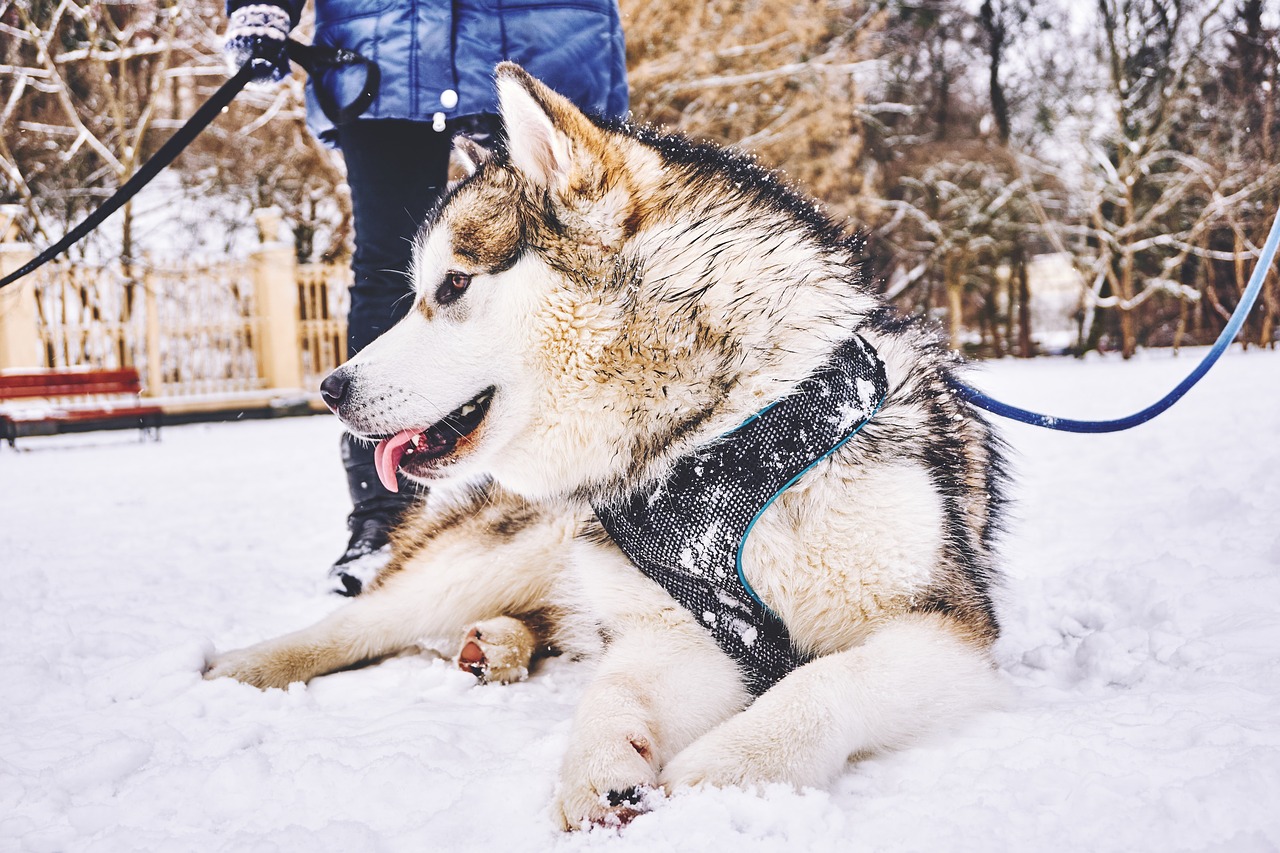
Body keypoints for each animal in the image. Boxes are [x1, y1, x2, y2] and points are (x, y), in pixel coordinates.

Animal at [209, 68, 1008, 829]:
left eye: (454, 284)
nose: (330, 388)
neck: (721, 444)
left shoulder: (944, 628)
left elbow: (826, 679)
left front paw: (729, 766)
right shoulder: (679, 632)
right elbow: (616, 686)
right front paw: (596, 765)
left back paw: (498, 643)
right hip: (510, 548)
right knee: (364, 622)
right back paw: (246, 664)